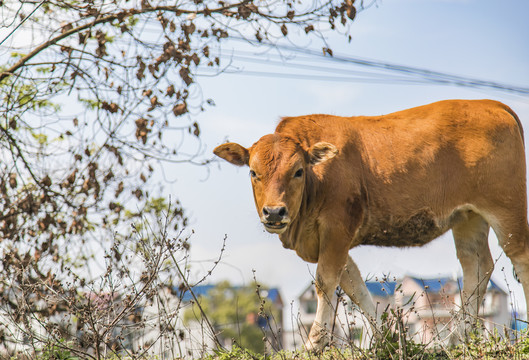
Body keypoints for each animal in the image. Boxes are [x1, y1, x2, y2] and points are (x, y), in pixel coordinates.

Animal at [212, 100, 524, 350]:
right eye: (253, 172)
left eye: (298, 171)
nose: (274, 212)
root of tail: (492, 104)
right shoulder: (329, 241)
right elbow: (354, 285)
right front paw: (387, 339)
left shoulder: (337, 228)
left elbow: (326, 282)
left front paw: (313, 344)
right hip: (469, 216)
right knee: (476, 267)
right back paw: (458, 339)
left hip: (506, 208)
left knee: (521, 259)